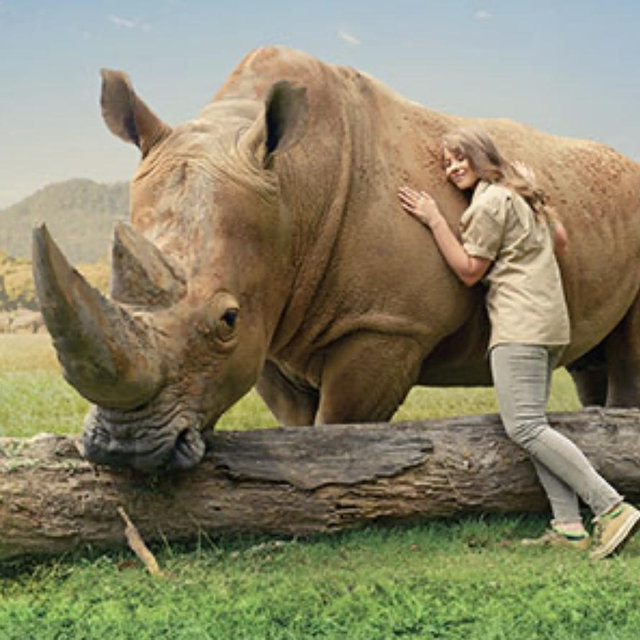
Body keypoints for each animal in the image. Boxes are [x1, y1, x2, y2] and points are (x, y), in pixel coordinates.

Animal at [33, 46, 640, 472]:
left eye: (226, 319)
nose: (125, 449)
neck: (293, 187)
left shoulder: (388, 326)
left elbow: (339, 423)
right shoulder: (271, 325)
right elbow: (298, 426)